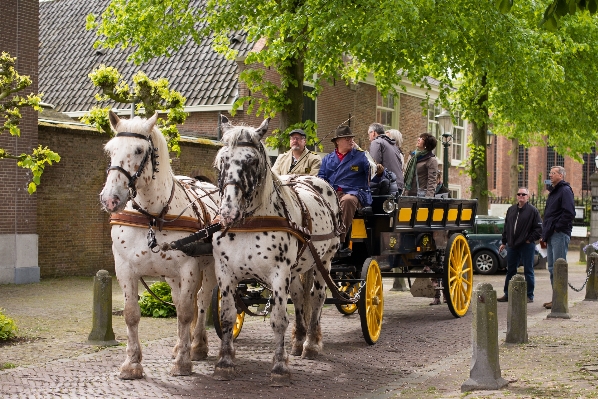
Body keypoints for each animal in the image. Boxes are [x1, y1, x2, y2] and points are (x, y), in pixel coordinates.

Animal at [99, 111, 219, 380]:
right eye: (110, 150)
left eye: (139, 150)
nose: (110, 199)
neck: (153, 217)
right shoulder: (124, 268)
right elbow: (131, 314)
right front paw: (132, 364)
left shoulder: (189, 268)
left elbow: (185, 312)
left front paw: (183, 362)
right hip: (171, 276)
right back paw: (181, 345)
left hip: (209, 268)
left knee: (202, 300)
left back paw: (197, 346)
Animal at [213, 117, 344, 386]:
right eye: (222, 159)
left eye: (252, 160)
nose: (228, 212)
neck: (250, 222)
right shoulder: (225, 273)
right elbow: (228, 316)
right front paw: (225, 363)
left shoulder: (278, 273)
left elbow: (279, 320)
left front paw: (279, 367)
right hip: (296, 270)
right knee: (300, 298)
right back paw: (299, 340)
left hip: (323, 261)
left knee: (317, 297)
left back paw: (311, 344)